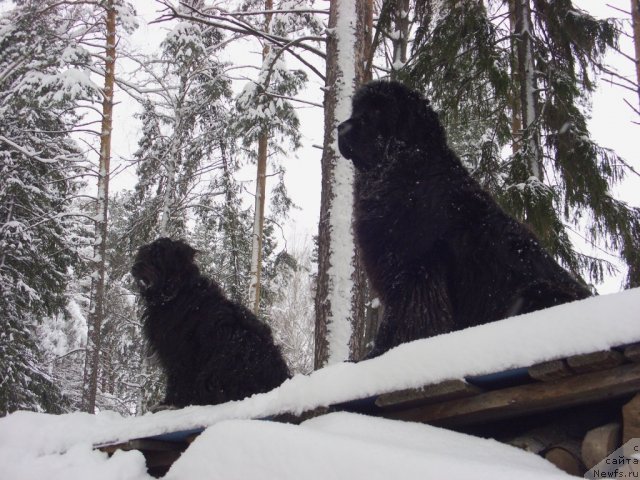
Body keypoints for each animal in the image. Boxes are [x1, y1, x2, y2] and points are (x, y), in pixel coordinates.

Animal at [132, 238, 290, 406]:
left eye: (158, 255)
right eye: (144, 253)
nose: (134, 267)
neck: (176, 292)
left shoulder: (179, 351)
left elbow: (177, 378)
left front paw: (171, 401)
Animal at [338, 79, 592, 356]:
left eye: (377, 111)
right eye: (357, 110)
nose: (341, 127)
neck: (402, 172)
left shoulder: (416, 269)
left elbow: (407, 318)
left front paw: (384, 352)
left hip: (536, 292)